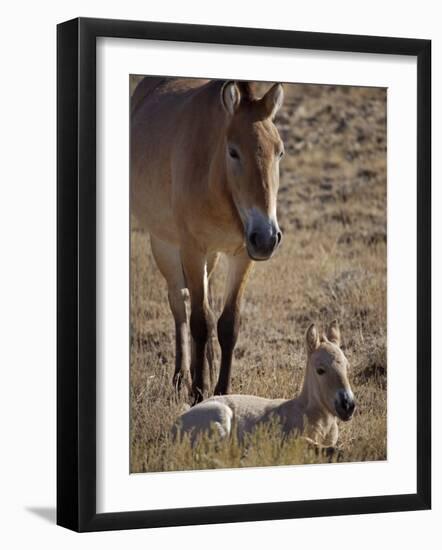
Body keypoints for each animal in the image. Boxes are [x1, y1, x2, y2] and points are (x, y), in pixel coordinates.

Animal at [131, 77, 284, 404]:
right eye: (234, 152)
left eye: (279, 152)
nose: (267, 237)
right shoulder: (192, 250)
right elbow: (200, 321)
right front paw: (199, 392)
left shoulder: (242, 255)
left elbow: (227, 323)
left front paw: (222, 389)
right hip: (164, 245)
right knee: (179, 303)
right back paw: (181, 377)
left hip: (212, 257)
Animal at [174, 324, 358, 448]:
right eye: (320, 370)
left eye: (347, 366)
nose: (347, 405)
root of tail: (174, 426)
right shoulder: (291, 440)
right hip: (221, 419)